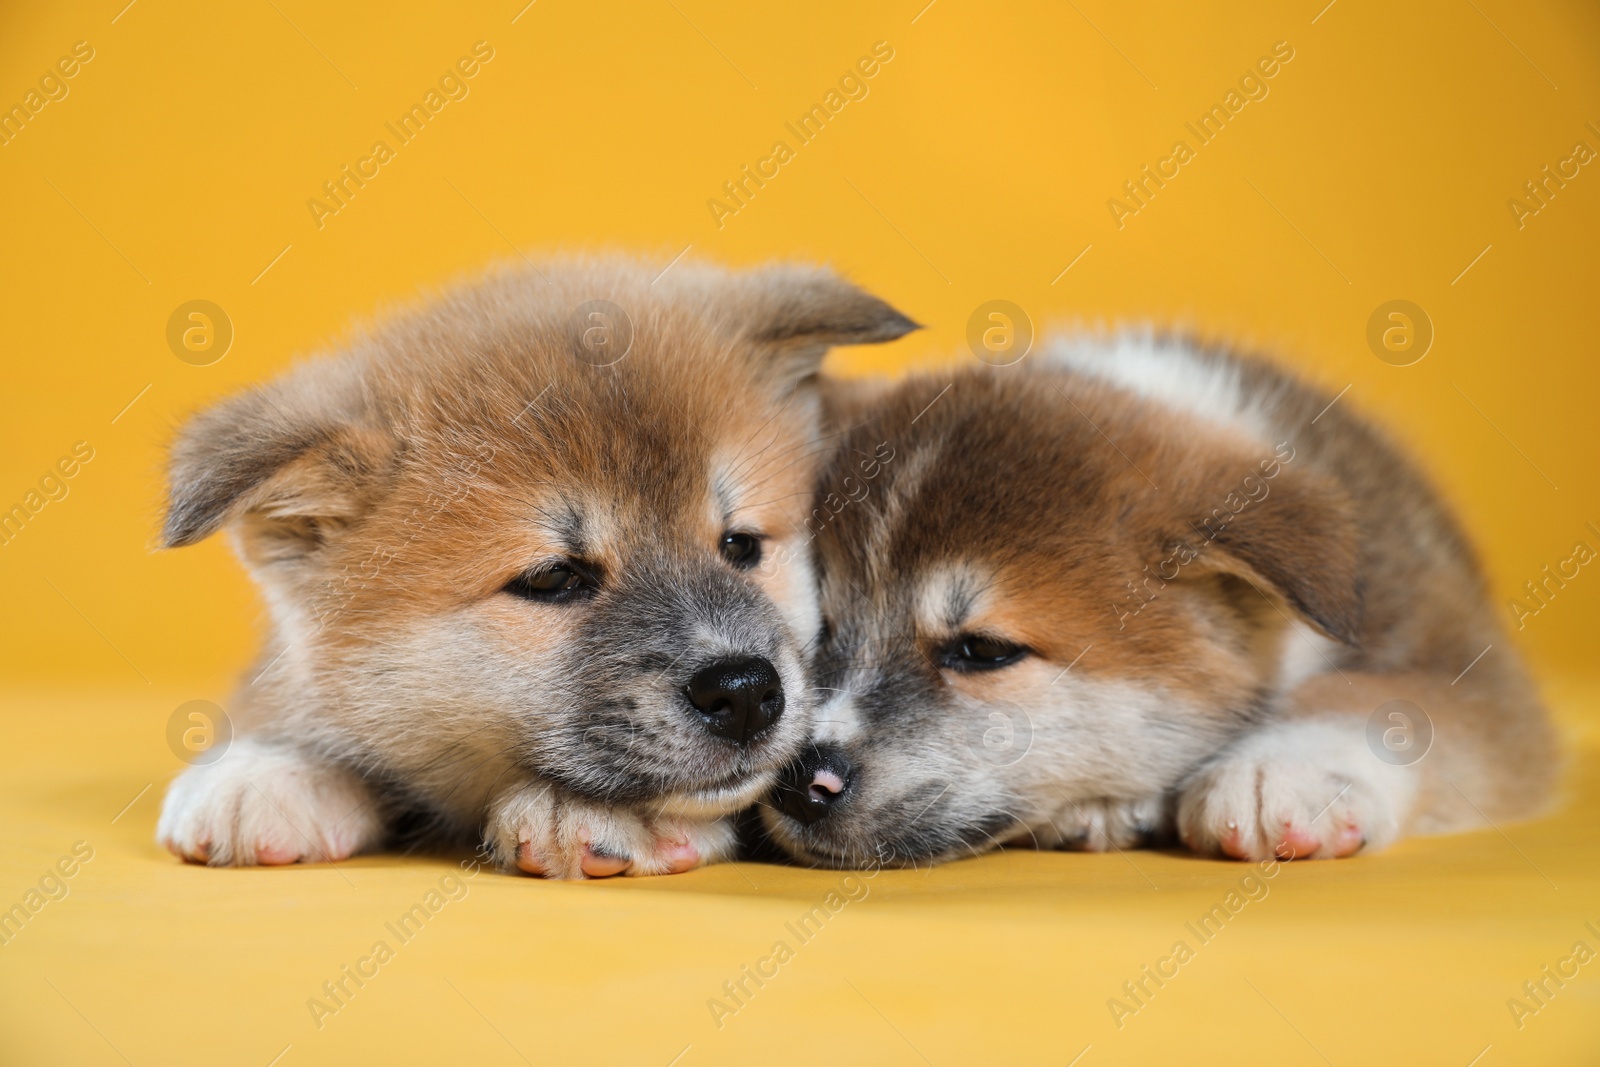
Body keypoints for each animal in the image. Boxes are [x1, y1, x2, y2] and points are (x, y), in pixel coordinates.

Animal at [768, 340, 1555, 870]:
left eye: (984, 651)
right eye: (821, 629)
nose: (798, 780)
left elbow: (1381, 696)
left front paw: (1282, 768)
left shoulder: (1471, 665)